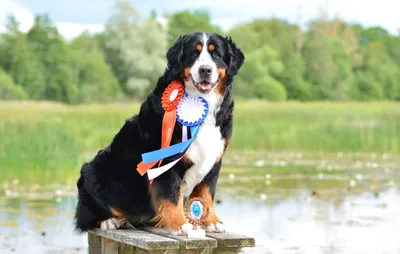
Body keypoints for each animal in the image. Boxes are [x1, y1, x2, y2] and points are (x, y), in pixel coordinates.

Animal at [73, 32, 245, 235]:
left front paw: (212, 222)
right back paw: (111, 221)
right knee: (87, 216)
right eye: (194, 54)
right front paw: (180, 224)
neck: (200, 105)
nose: (205, 70)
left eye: (216, 54)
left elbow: (206, 193)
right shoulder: (166, 161)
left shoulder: (214, 159)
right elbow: (171, 194)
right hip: (93, 173)